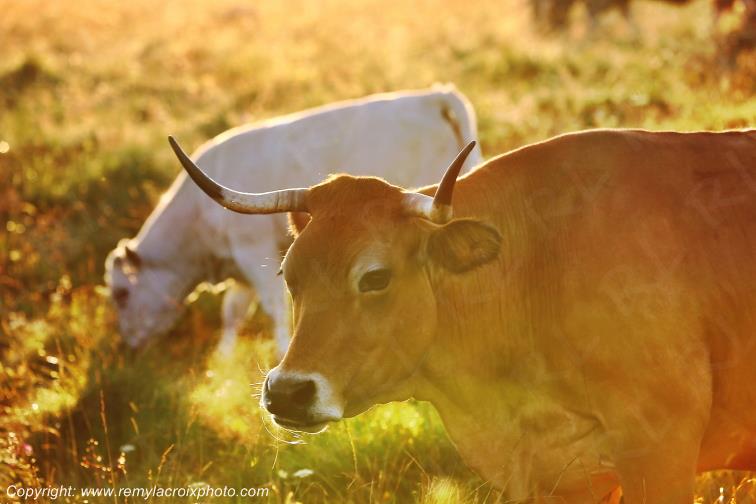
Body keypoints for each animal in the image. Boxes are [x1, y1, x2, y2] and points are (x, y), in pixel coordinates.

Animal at [104, 85, 481, 356]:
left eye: (121, 294)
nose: (128, 347)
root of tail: (433, 96)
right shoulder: (241, 272)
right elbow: (232, 314)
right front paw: (222, 363)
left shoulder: (254, 252)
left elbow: (275, 308)